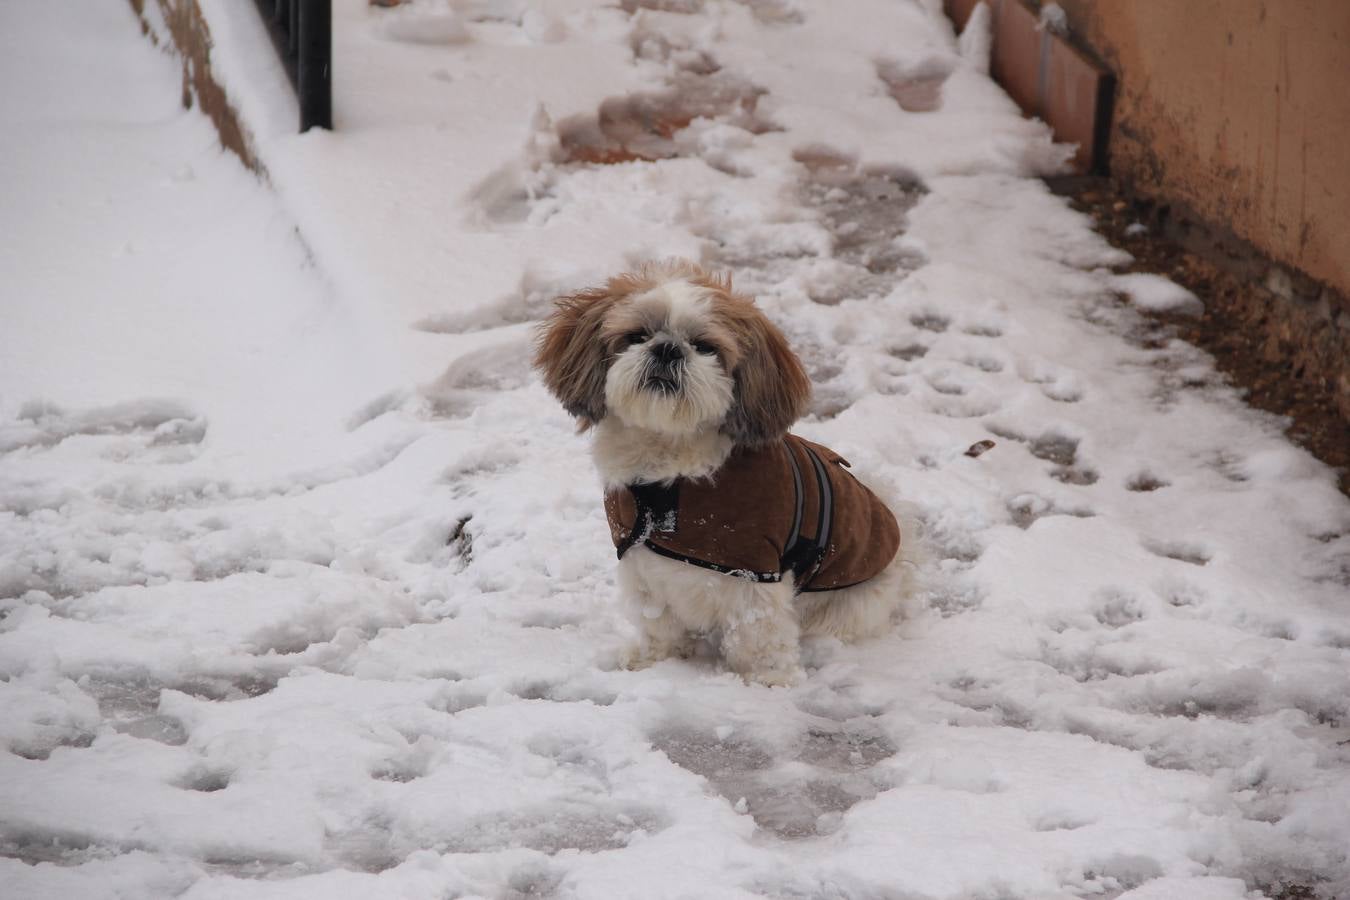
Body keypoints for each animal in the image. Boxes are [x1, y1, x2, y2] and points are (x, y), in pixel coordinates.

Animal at [537, 260, 918, 690]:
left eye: (705, 346)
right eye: (637, 336)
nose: (667, 348)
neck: (672, 472)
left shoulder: (755, 575)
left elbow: (759, 634)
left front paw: (767, 681)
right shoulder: (642, 562)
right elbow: (657, 622)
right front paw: (653, 659)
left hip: (845, 603)